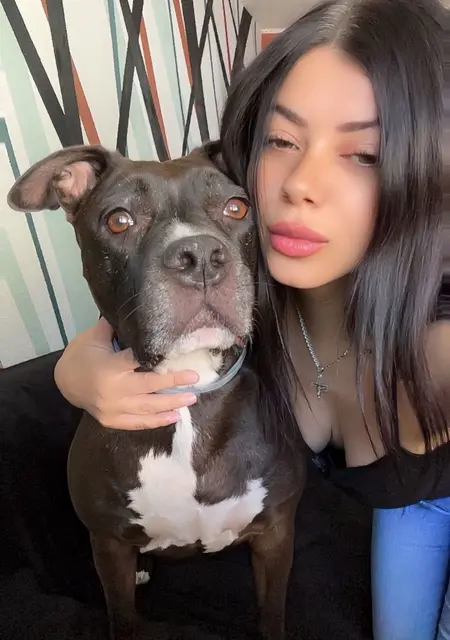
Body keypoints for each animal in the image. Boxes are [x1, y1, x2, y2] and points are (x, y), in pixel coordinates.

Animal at [8, 144, 305, 640]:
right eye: (119, 220)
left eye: (236, 207)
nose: (200, 254)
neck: (189, 391)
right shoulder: (109, 544)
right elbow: (123, 617)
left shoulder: (275, 535)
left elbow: (272, 615)